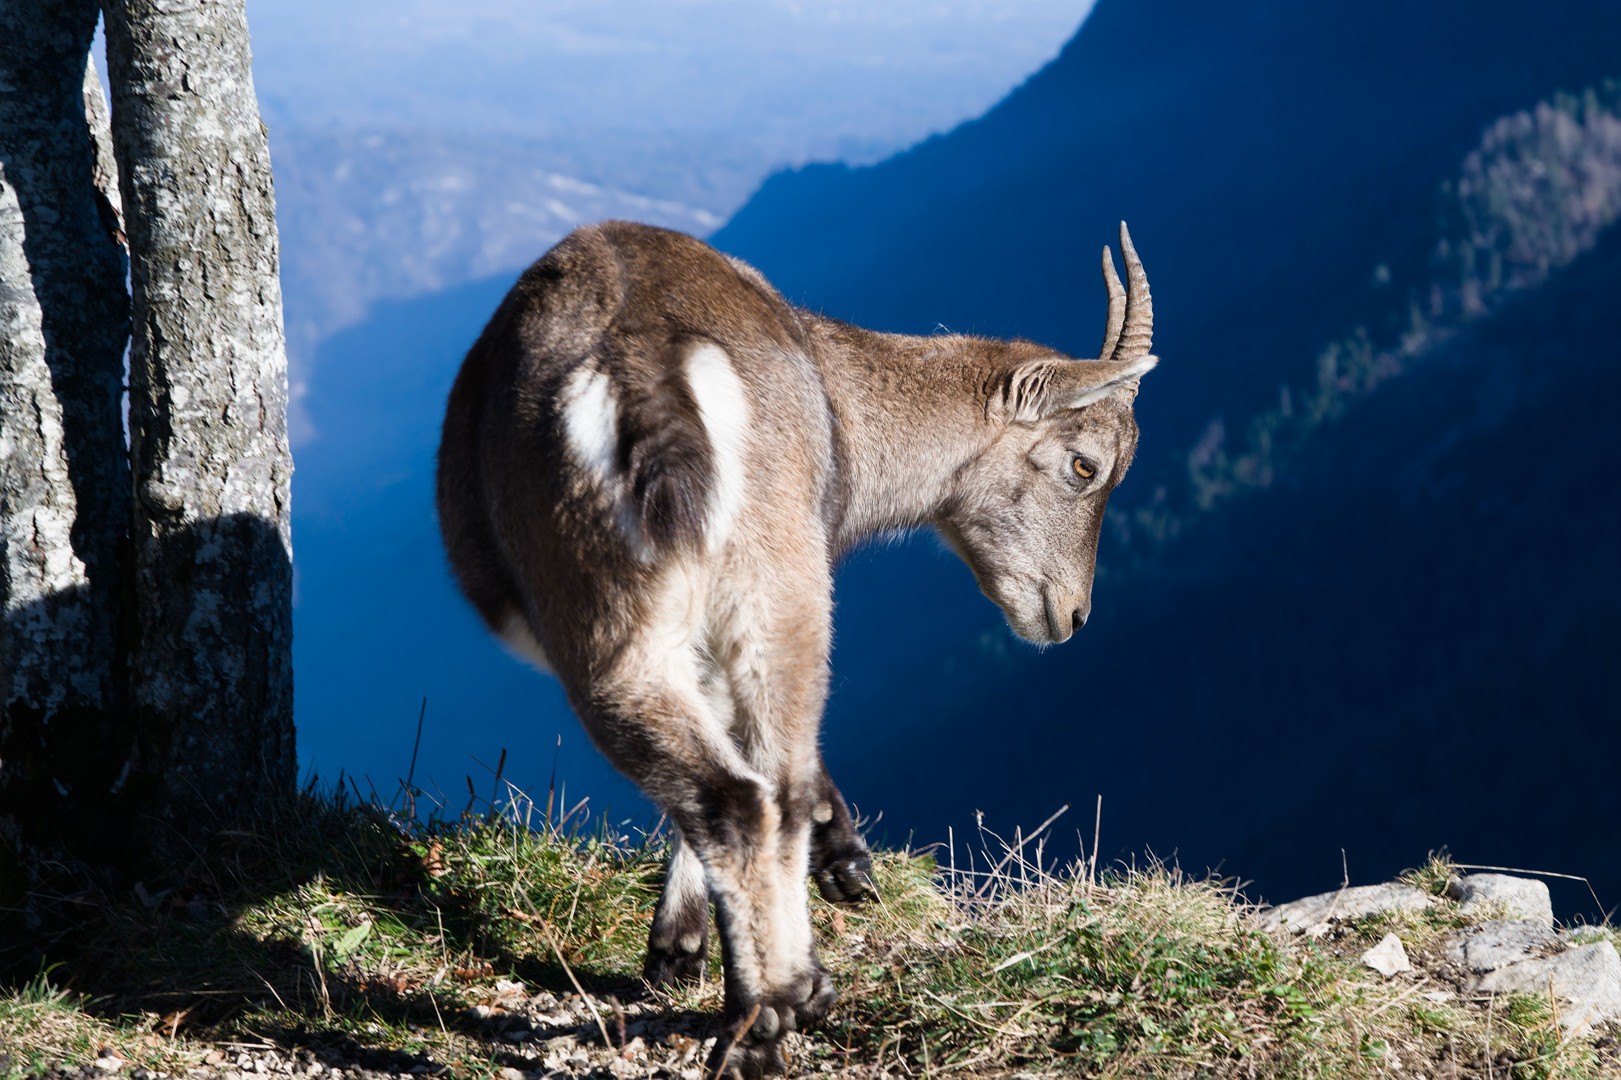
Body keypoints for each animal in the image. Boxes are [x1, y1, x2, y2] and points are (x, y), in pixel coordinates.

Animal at [436, 220, 1156, 1077]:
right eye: (1085, 465)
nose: (1071, 615)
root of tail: (650, 376)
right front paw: (832, 867)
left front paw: (684, 947)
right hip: (773, 582)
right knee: (757, 784)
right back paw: (781, 1002)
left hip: (645, 609)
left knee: (736, 790)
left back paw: (767, 1011)